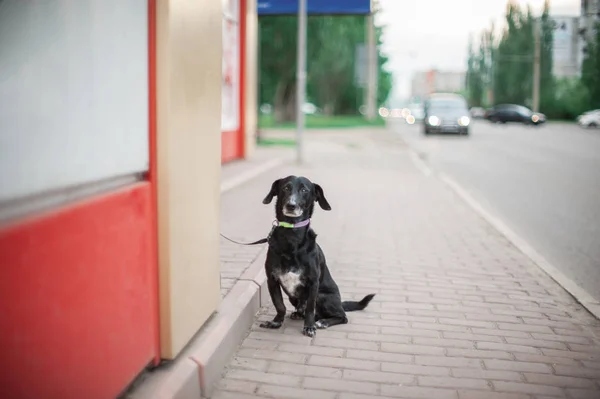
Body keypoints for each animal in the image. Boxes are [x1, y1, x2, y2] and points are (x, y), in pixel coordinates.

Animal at [258, 177, 376, 336]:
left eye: (304, 190)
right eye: (285, 188)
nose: (291, 205)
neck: (291, 235)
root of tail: (340, 303)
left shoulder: (313, 283)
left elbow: (310, 308)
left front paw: (309, 327)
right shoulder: (272, 280)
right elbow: (279, 305)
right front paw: (276, 322)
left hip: (323, 296)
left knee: (342, 316)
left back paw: (323, 322)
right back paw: (299, 314)